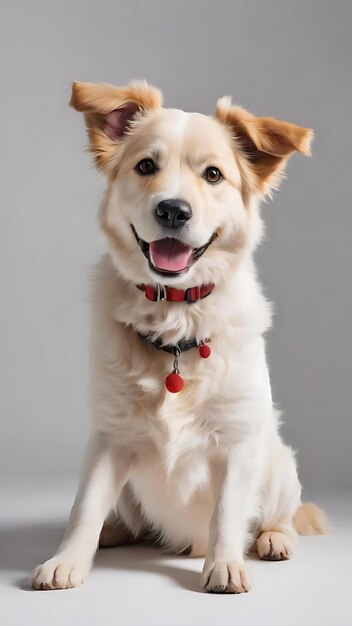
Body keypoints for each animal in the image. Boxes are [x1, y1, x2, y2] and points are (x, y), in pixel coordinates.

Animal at [31, 79, 328, 588]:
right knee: (123, 517)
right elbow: (84, 508)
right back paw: (114, 531)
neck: (175, 318)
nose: (173, 210)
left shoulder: (239, 439)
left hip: (278, 463)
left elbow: (228, 511)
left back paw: (273, 539)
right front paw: (66, 560)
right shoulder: (111, 438)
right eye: (146, 166)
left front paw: (225, 565)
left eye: (213, 174)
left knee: (280, 515)